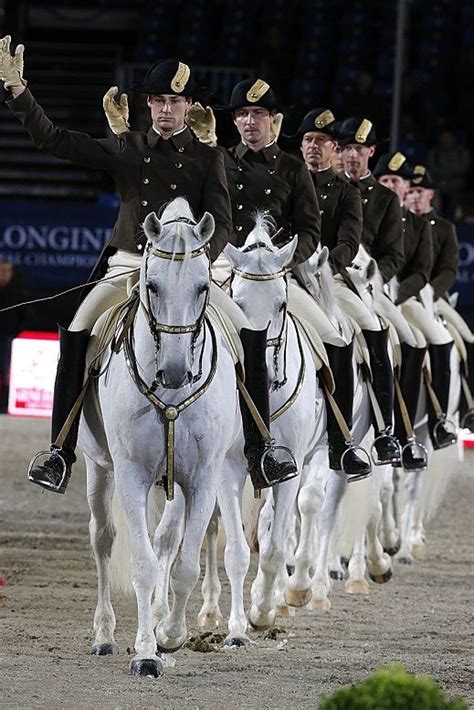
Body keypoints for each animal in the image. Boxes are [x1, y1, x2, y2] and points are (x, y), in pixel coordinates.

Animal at [80, 199, 241, 680]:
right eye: (150, 285)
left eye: (203, 286)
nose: (173, 371)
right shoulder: (132, 476)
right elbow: (143, 564)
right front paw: (147, 654)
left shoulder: (201, 479)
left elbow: (183, 564)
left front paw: (169, 635)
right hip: (99, 470)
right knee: (103, 539)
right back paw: (105, 635)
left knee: (166, 543)